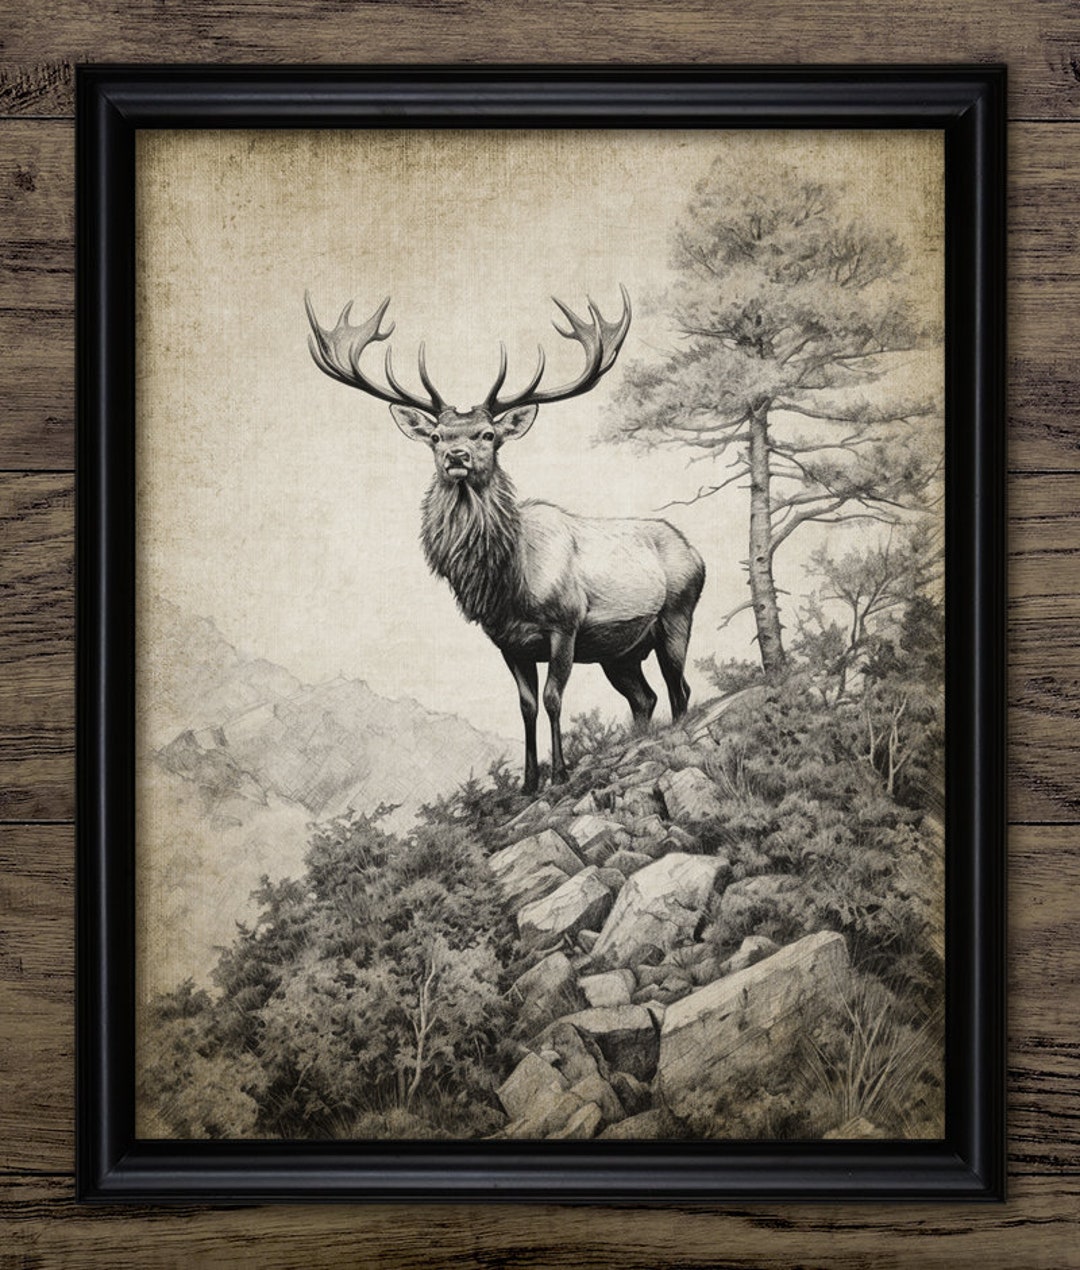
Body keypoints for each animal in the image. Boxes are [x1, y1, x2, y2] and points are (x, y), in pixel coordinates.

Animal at [305, 287, 705, 794]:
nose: (456, 456)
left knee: (679, 686)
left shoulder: (564, 624)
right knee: (644, 698)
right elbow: (526, 706)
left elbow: (553, 699)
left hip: (677, 613)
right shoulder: (508, 642)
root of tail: (695, 550)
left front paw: (560, 774)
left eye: (489, 434)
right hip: (620, 652)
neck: (508, 580)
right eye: (436, 436)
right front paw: (529, 783)